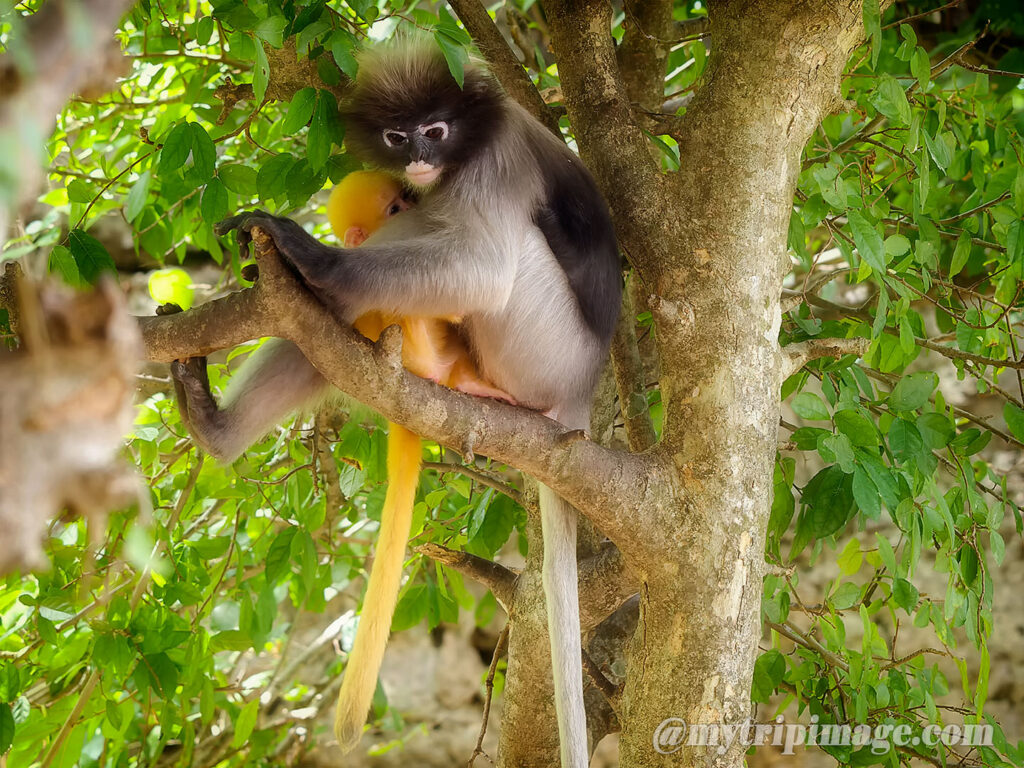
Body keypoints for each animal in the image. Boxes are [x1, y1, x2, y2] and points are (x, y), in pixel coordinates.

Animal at [204, 41, 622, 767]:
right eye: (399, 137)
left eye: (437, 128)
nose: (421, 157)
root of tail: (581, 391)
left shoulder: (494, 163)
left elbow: (482, 269)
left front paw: (310, 251)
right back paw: (215, 429)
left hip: (545, 347)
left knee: (479, 256)